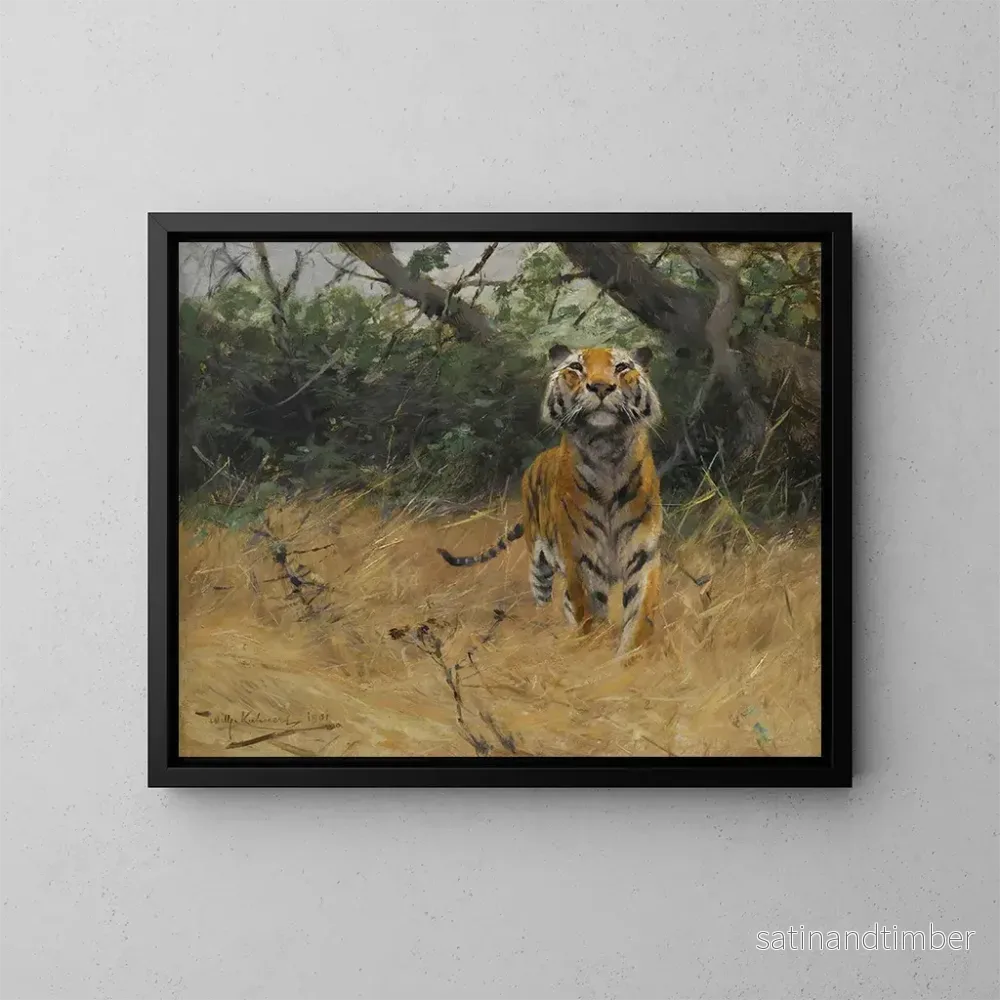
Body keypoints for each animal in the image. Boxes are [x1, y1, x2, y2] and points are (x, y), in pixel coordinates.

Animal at [438, 343, 663, 654]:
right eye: (576, 367)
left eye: (621, 367)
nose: (601, 386)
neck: (606, 451)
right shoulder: (580, 556)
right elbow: (589, 610)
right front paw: (592, 652)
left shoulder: (642, 553)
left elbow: (639, 615)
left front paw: (628, 658)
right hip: (539, 567)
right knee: (548, 600)